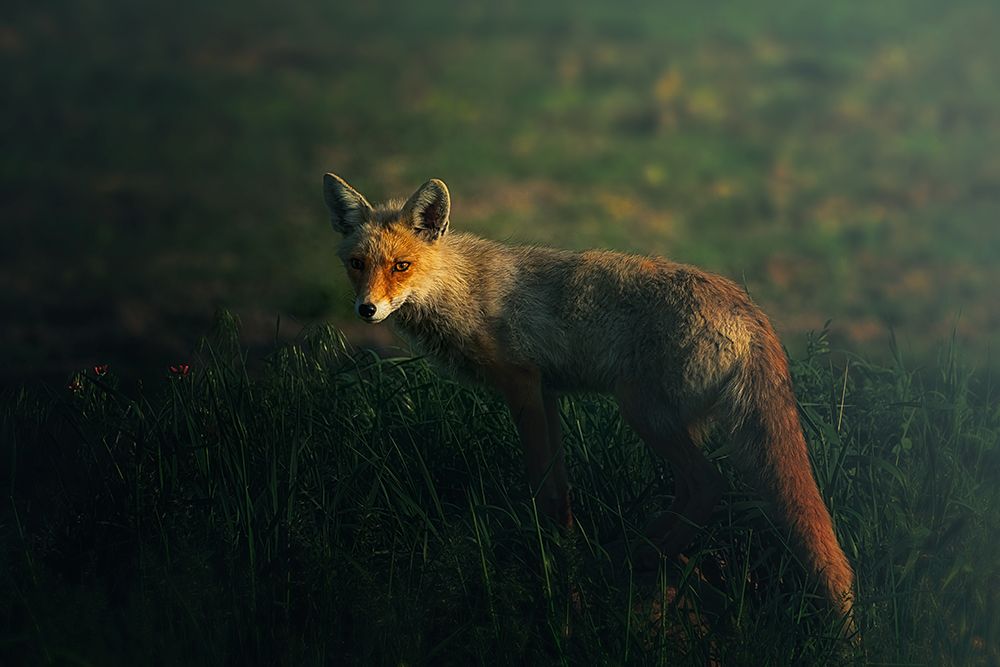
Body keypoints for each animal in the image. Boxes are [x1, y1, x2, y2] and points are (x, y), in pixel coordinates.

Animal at [323, 172, 856, 627]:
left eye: (401, 266)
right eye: (356, 265)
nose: (367, 310)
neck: (462, 290)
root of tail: (752, 313)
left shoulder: (521, 385)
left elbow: (545, 489)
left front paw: (556, 569)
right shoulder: (547, 392)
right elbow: (561, 488)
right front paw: (568, 550)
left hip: (642, 412)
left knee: (708, 485)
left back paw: (629, 556)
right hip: (667, 420)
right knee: (693, 492)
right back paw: (634, 553)